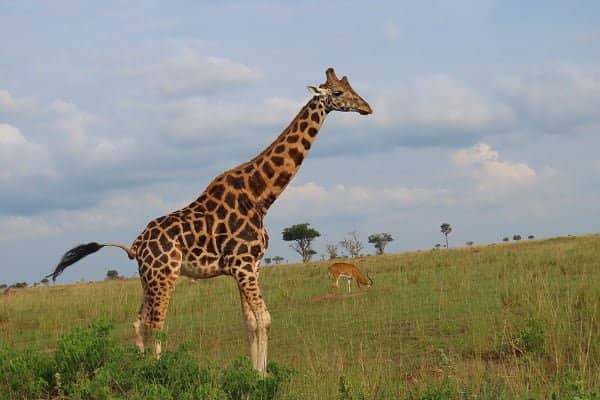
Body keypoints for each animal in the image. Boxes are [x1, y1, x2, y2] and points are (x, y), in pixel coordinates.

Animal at [49, 67, 372, 374]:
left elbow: (251, 321)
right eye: (339, 92)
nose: (367, 108)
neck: (260, 197)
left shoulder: (251, 267)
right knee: (156, 323)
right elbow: (265, 318)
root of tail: (135, 246)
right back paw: (156, 371)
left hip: (147, 278)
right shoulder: (243, 265)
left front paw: (257, 372)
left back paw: (141, 368)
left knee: (139, 321)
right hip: (164, 275)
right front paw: (262, 375)